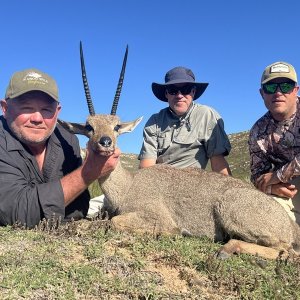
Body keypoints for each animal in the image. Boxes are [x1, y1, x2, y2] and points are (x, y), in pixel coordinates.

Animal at [56, 42, 300, 260]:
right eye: (89, 127)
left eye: (116, 126)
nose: (105, 142)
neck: (128, 185)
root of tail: (289, 224)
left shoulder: (156, 217)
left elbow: (116, 222)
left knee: (285, 249)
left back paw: (227, 250)